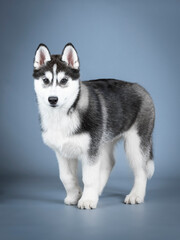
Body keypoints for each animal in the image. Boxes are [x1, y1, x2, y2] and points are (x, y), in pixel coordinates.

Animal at [33, 43, 155, 210]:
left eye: (64, 80)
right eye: (45, 80)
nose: (53, 99)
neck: (64, 114)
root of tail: (141, 88)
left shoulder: (90, 151)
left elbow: (89, 177)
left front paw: (87, 199)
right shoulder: (62, 151)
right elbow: (66, 176)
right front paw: (75, 195)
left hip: (135, 143)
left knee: (141, 170)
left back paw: (136, 195)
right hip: (104, 140)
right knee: (109, 163)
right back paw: (97, 191)